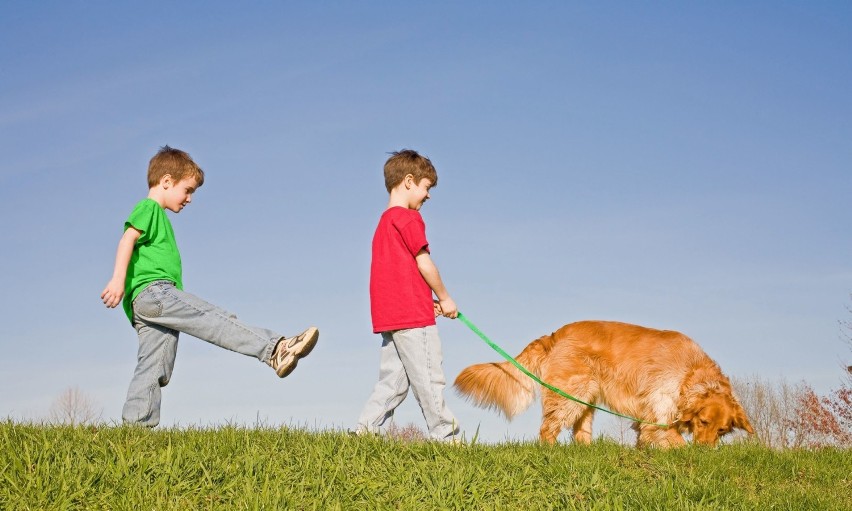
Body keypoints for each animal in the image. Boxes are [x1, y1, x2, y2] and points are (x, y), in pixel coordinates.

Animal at [456, 320, 756, 448]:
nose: (704, 451)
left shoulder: (648, 418)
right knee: (547, 430)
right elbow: (675, 441)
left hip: (586, 398)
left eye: (722, 431)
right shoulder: (657, 414)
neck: (690, 372)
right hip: (570, 394)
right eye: (703, 422)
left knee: (580, 433)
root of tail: (556, 334)